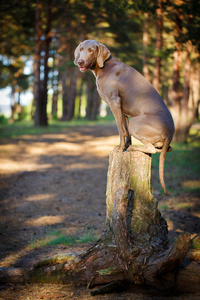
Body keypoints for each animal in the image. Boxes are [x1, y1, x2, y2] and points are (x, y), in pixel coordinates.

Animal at [74, 39, 174, 195]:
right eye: (81, 49)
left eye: (91, 50)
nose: (80, 62)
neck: (104, 66)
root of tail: (171, 132)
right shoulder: (123, 110)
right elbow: (125, 130)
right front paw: (126, 146)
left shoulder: (114, 101)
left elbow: (121, 129)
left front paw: (121, 148)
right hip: (142, 126)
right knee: (165, 149)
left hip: (136, 122)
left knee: (152, 149)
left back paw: (135, 148)